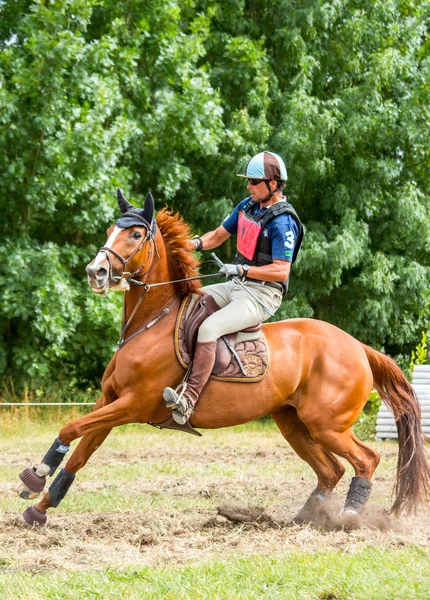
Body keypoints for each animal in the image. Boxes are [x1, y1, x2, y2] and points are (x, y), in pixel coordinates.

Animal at [17, 189, 430, 524]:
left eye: (135, 234)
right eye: (108, 232)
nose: (96, 272)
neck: (152, 321)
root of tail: (358, 346)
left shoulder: (132, 404)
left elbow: (71, 428)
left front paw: (37, 475)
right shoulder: (110, 401)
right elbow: (80, 453)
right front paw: (40, 506)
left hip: (328, 425)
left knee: (366, 459)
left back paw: (348, 517)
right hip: (294, 424)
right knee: (330, 471)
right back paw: (304, 518)